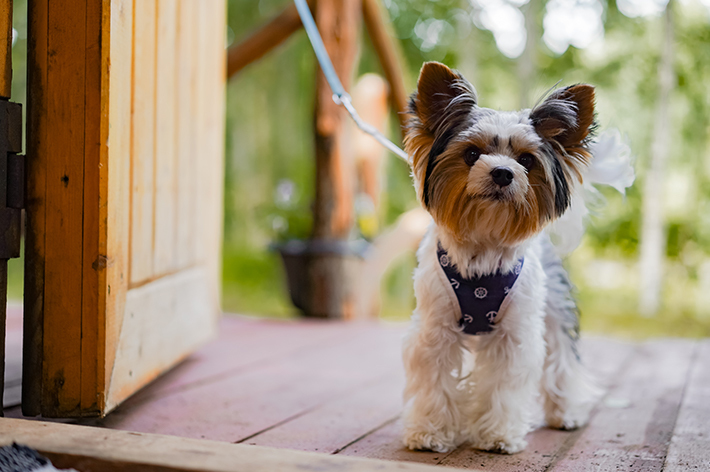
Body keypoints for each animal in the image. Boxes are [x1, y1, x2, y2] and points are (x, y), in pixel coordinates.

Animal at [404, 61, 620, 454]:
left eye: (526, 160)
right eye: (471, 154)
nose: (503, 173)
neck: (483, 244)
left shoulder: (514, 335)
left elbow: (503, 384)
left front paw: (498, 435)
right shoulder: (434, 331)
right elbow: (435, 380)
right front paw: (430, 431)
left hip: (554, 309)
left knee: (562, 359)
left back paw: (566, 412)